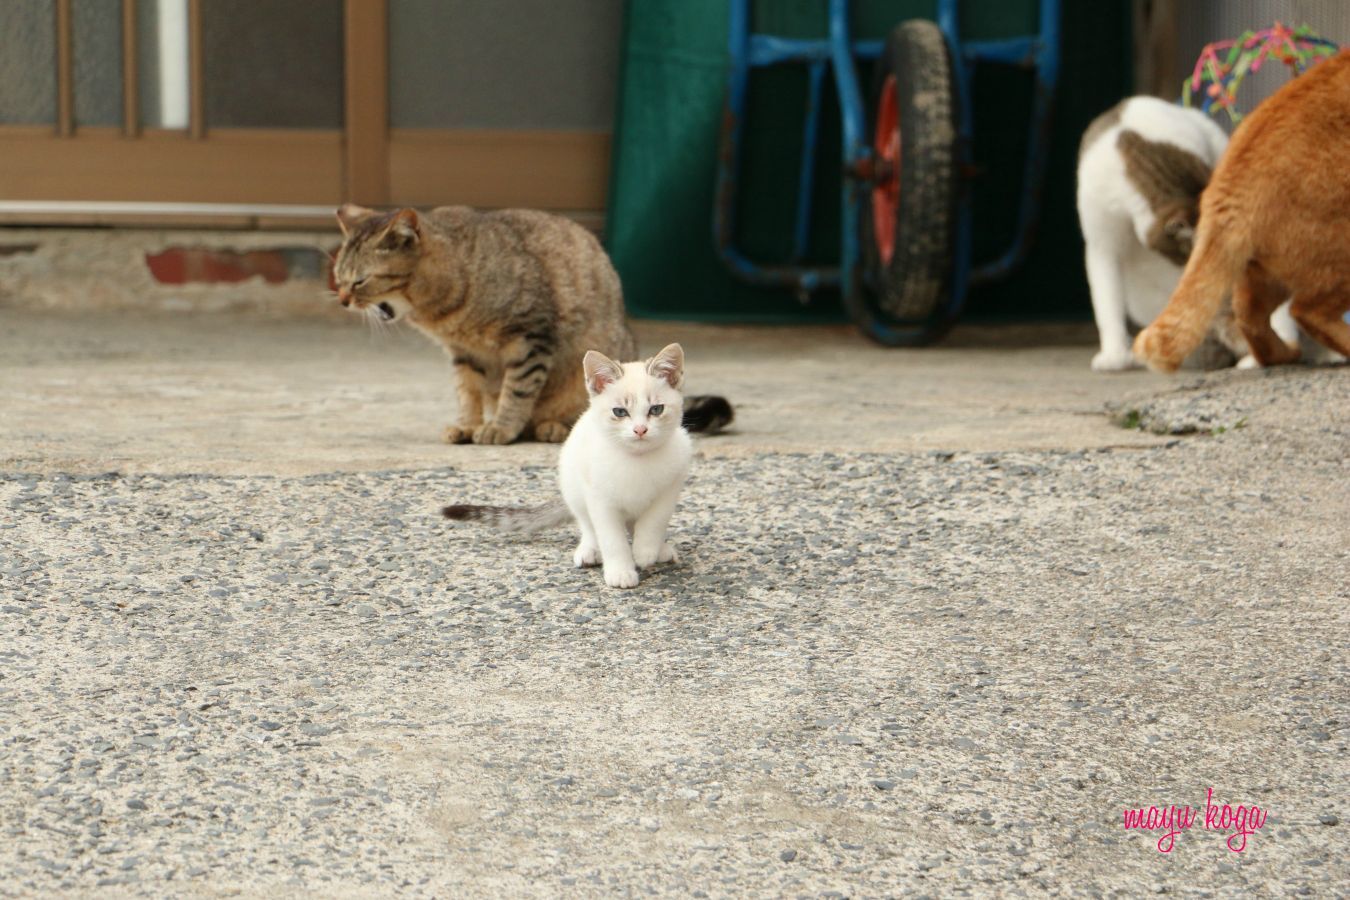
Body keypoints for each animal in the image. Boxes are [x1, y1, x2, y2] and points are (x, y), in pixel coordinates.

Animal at [332, 205, 734, 442]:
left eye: (360, 281)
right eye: (339, 276)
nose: (342, 299)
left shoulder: (530, 337)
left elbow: (518, 390)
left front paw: (500, 427)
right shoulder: (463, 354)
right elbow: (468, 392)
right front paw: (468, 424)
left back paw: (553, 426)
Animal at [445, 341, 696, 588]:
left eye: (656, 409)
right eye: (620, 412)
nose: (640, 430)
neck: (636, 460)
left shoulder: (671, 486)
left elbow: (654, 521)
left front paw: (646, 551)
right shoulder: (599, 498)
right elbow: (611, 538)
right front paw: (620, 571)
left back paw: (659, 549)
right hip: (572, 482)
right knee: (587, 524)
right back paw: (590, 549)